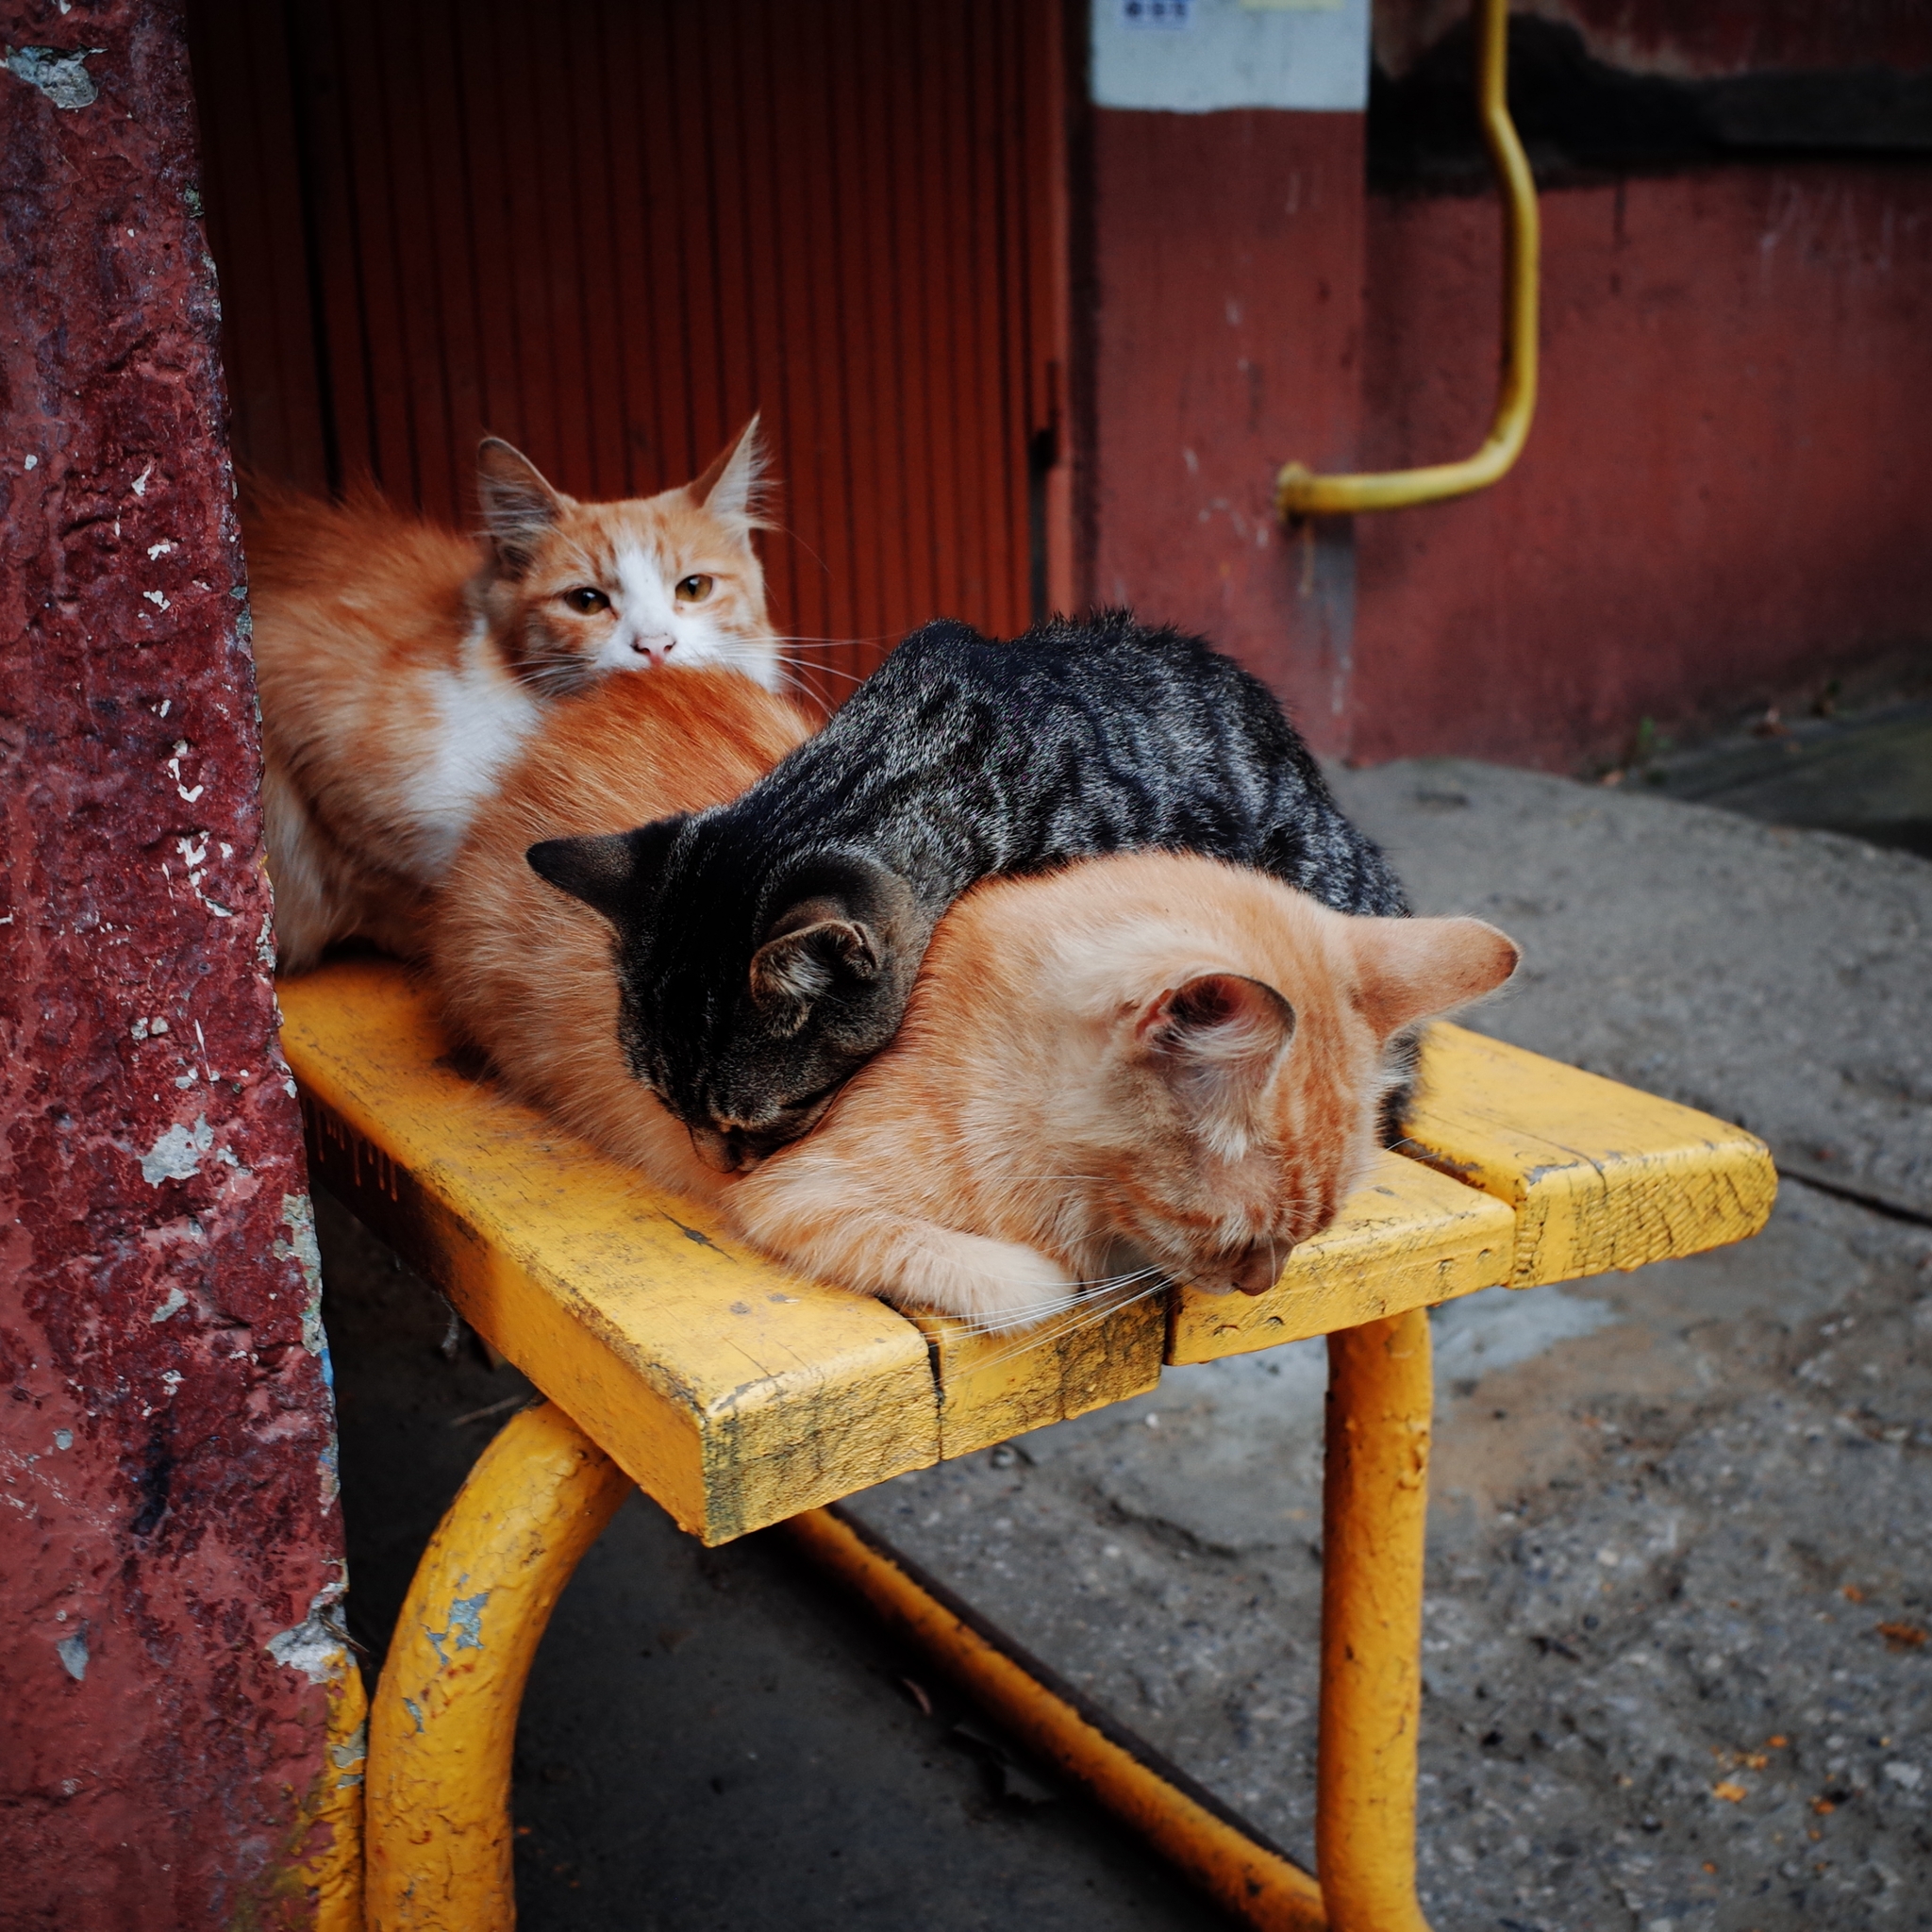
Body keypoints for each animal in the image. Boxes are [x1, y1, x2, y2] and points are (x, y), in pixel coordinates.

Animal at [430, 668, 1514, 1329]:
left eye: (1306, 1240)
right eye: (1242, 1242)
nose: (1260, 1286)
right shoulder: (798, 1194)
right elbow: (1009, 1278)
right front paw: (1052, 1274)